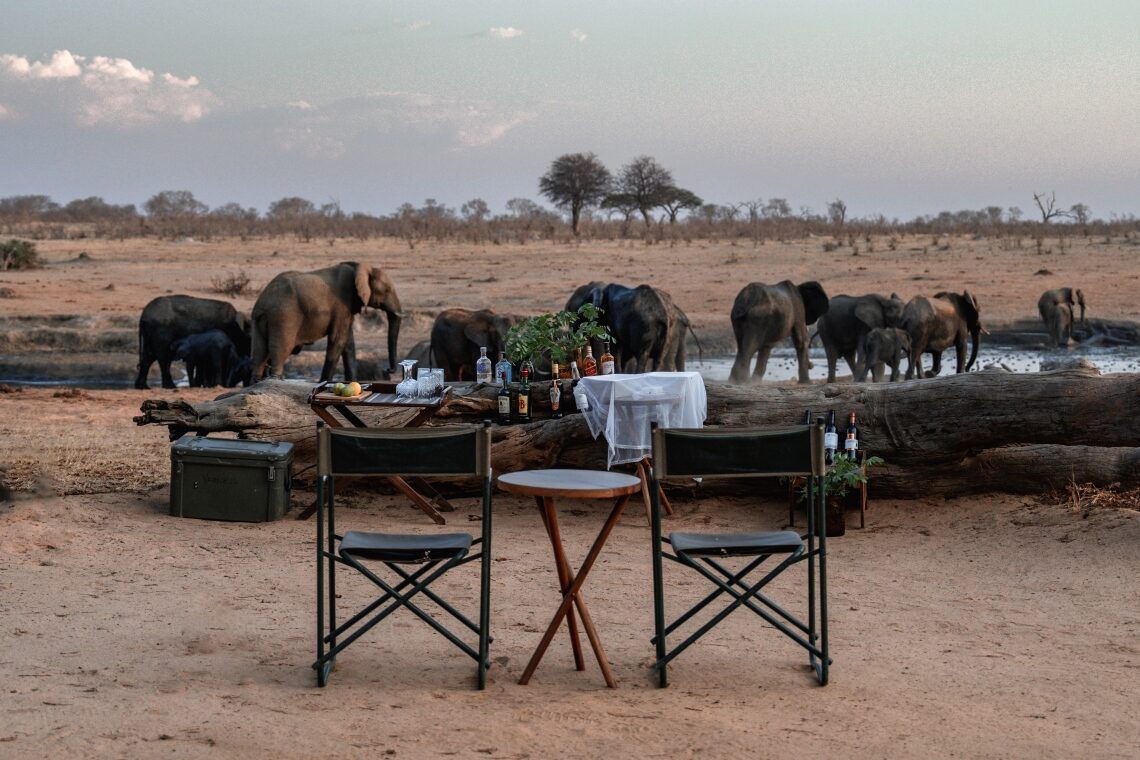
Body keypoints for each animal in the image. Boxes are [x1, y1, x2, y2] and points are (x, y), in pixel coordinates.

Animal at [250, 261, 402, 382]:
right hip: (284, 316)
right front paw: (324, 383)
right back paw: (276, 378)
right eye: (387, 290)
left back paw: (256, 383)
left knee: (259, 354)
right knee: (281, 350)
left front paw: (351, 382)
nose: (388, 370)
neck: (359, 267)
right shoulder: (342, 305)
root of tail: (264, 301)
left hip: (259, 320)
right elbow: (338, 340)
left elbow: (348, 343)